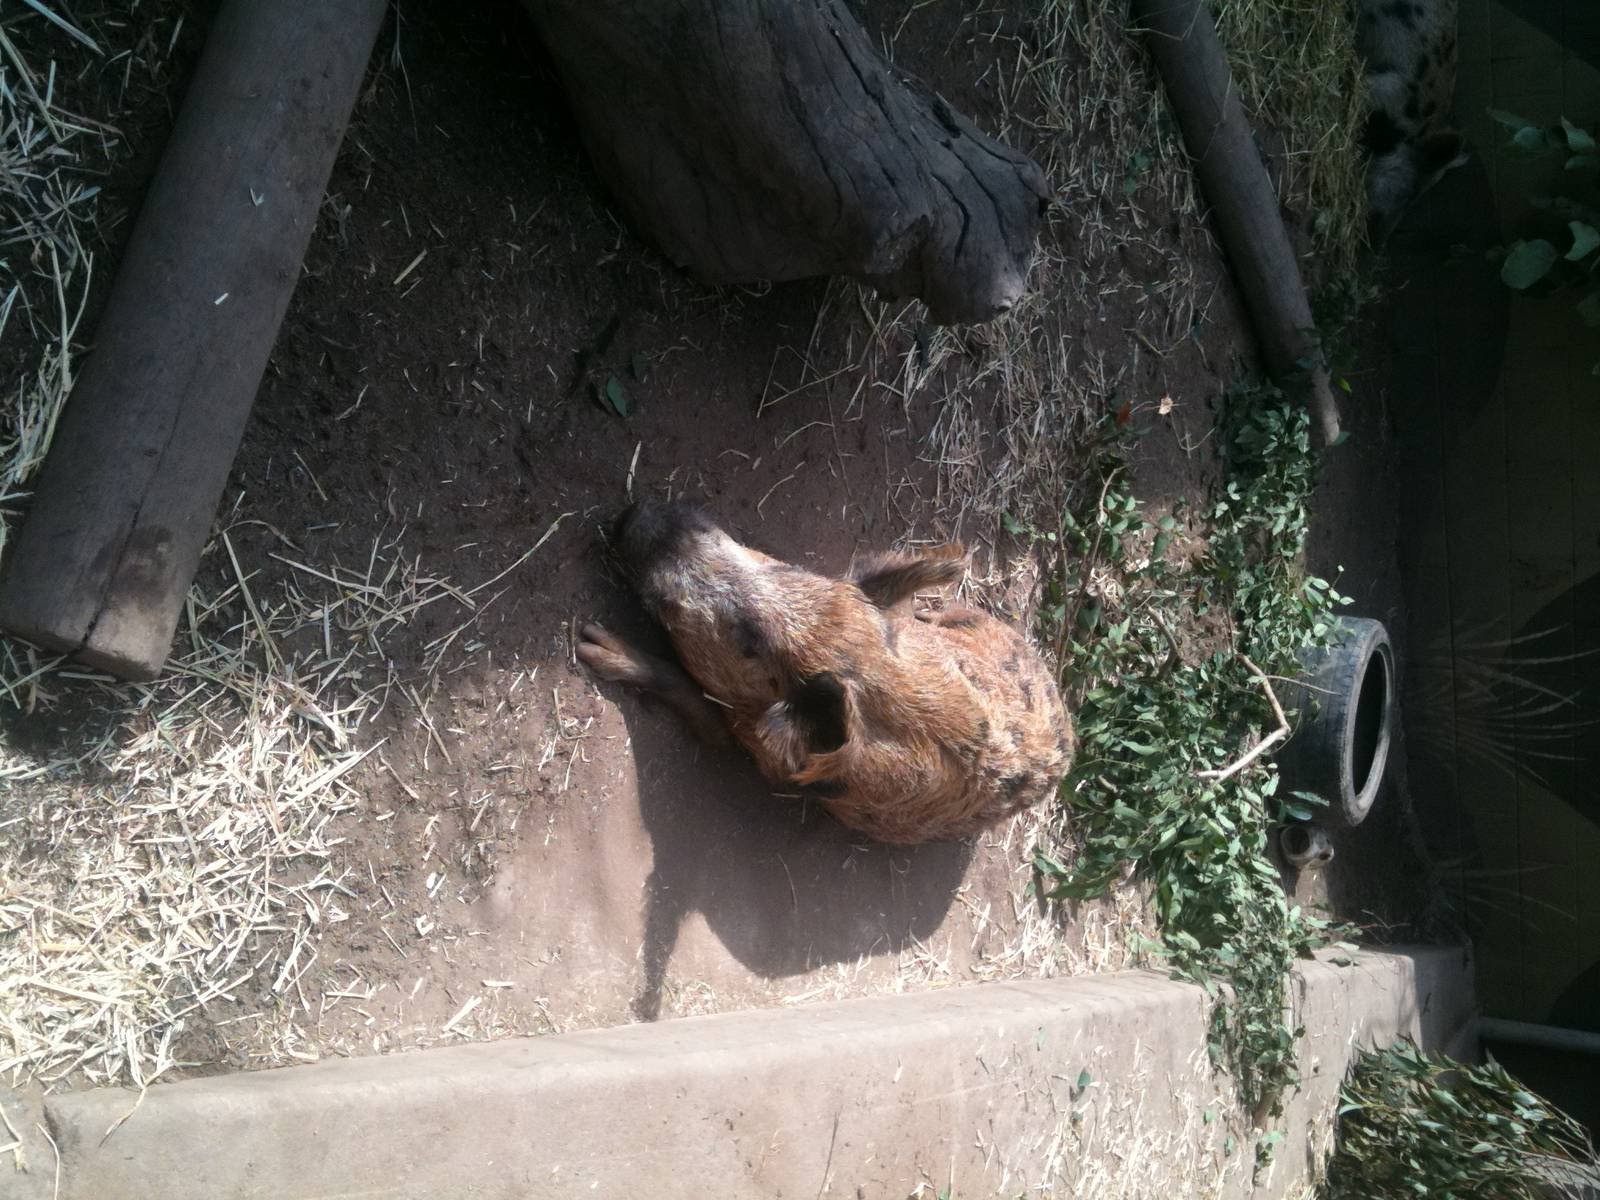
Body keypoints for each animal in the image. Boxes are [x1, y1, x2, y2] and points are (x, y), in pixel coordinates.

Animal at [576, 500, 1073, 845]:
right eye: (788, 566)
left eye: (749, 640)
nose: (643, 511)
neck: (871, 669)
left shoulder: (763, 757)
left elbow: (699, 708)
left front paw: (590, 644)